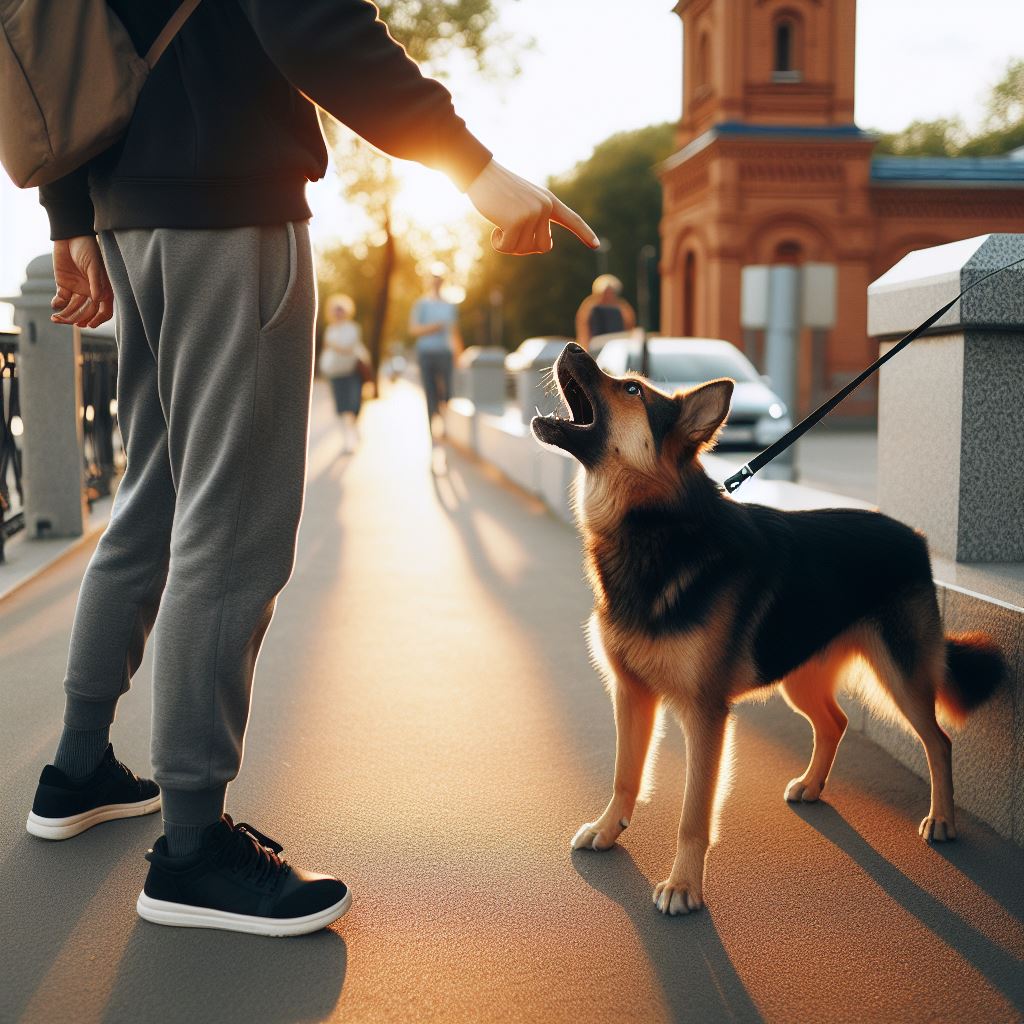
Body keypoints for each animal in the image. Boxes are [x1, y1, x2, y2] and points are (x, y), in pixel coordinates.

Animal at [532, 344, 1003, 921]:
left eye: (632, 390)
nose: (572, 347)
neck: (656, 529)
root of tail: (914, 536)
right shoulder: (631, 694)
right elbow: (625, 776)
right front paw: (607, 829)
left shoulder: (705, 715)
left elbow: (693, 813)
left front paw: (684, 886)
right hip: (799, 677)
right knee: (835, 722)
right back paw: (814, 784)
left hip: (902, 677)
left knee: (938, 740)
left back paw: (943, 820)